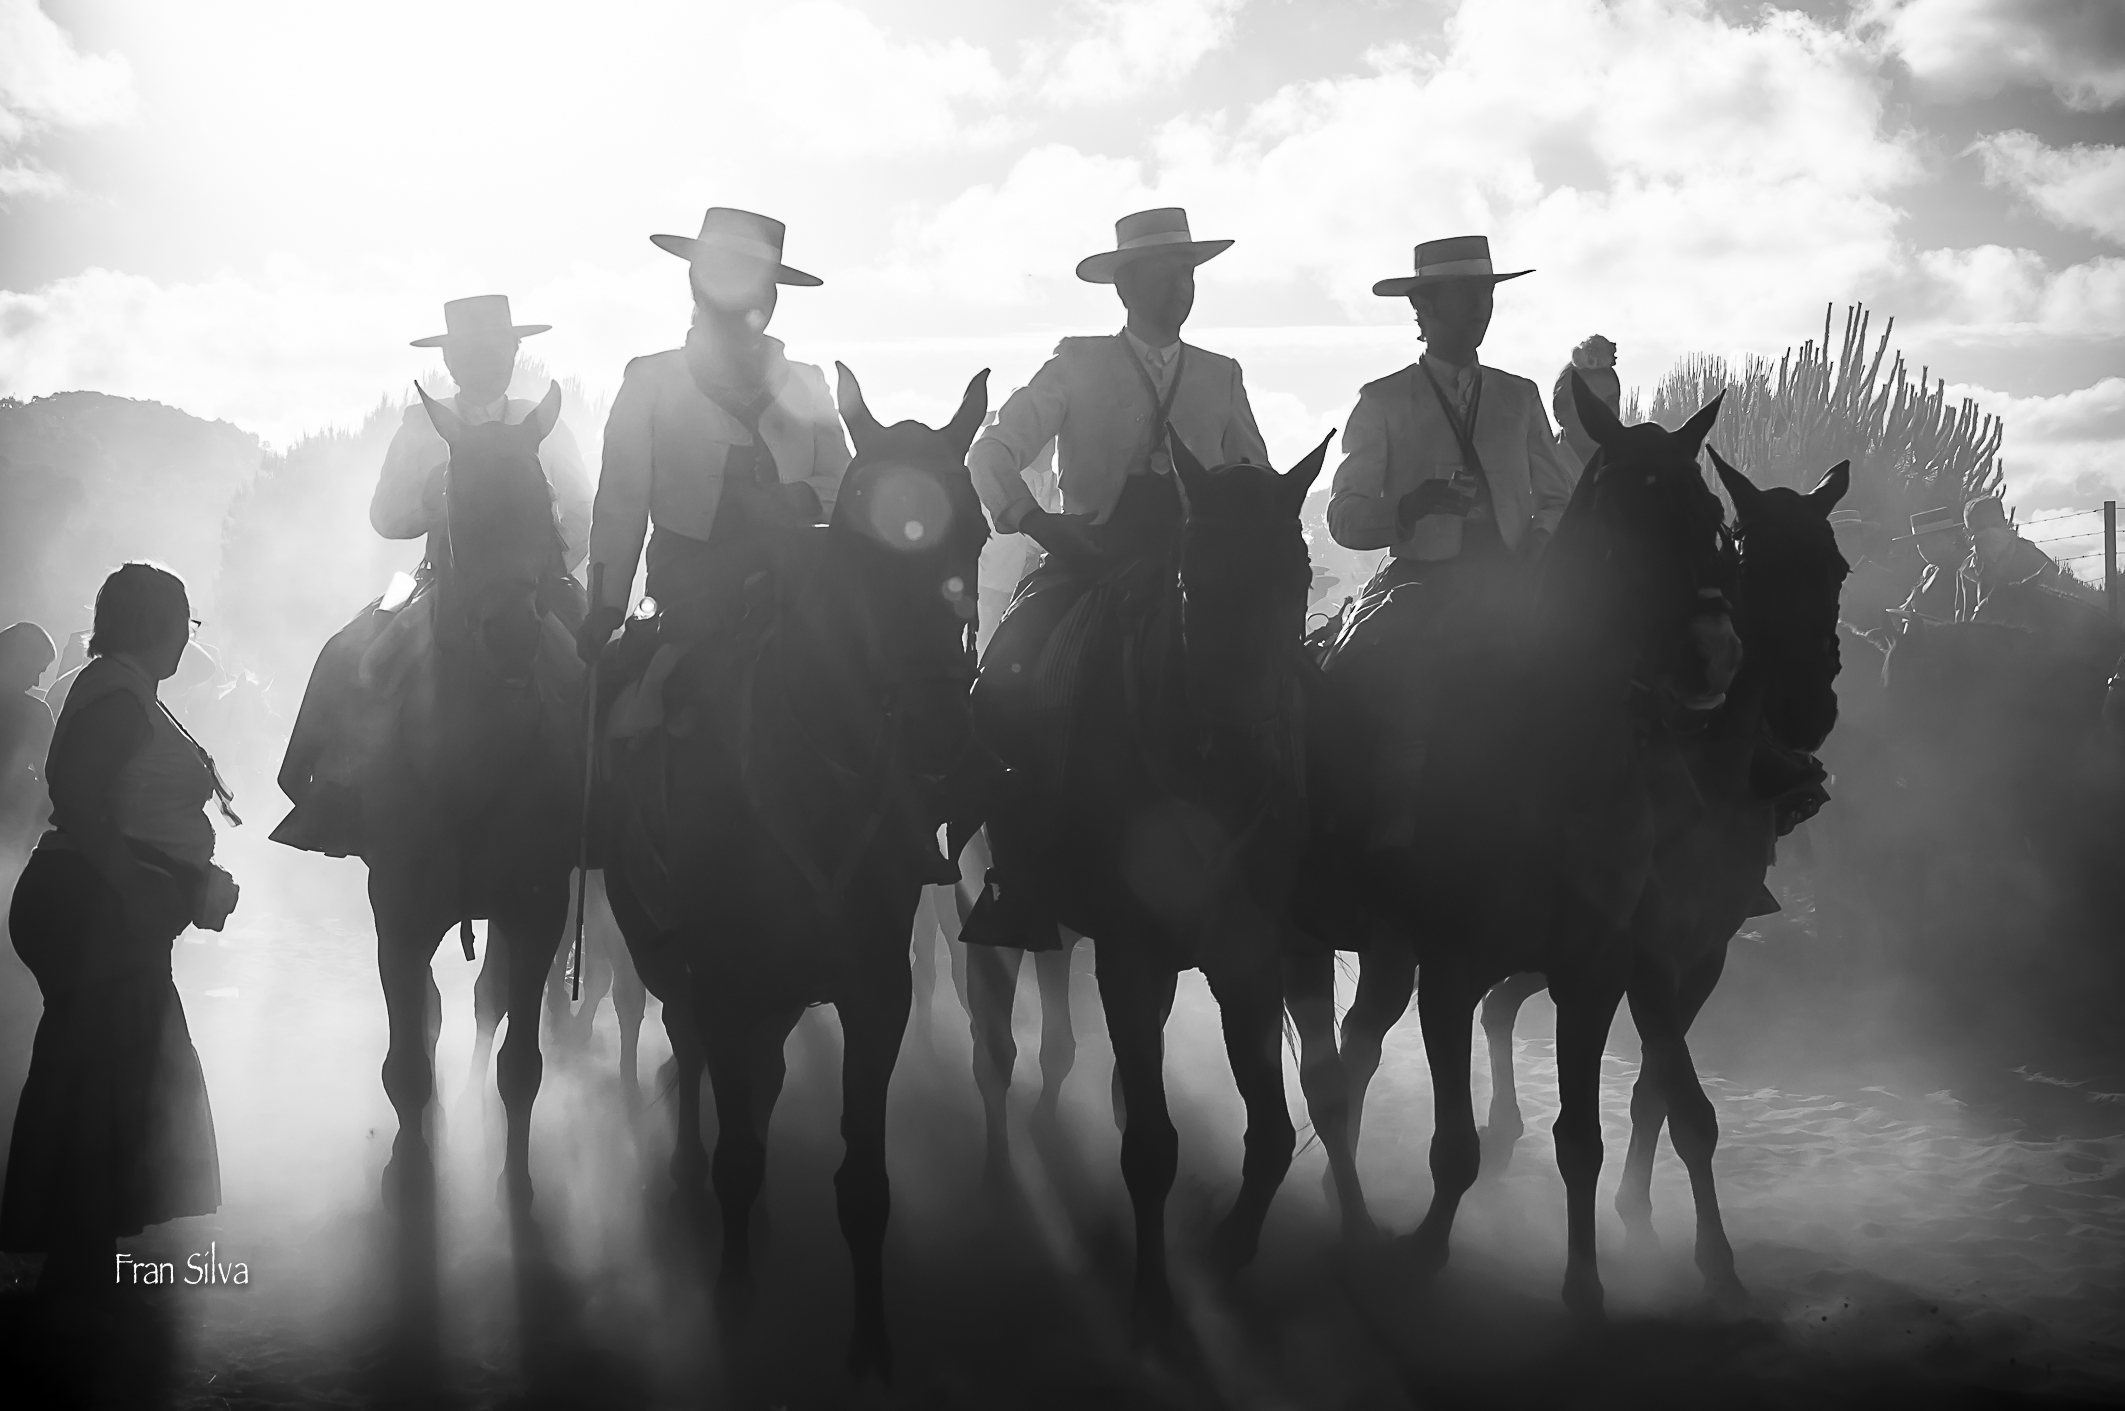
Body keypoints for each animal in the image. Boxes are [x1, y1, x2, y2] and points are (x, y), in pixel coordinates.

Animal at [280, 380, 590, 1207]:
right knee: (430, 1016)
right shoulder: (398, 911)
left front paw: (516, 1180)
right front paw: (413, 1171)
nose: (511, 634)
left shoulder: (537, 909)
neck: (469, 755)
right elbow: (409, 1066)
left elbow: (521, 1065)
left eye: (543, 499)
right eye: (457, 503)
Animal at [603, 363, 990, 1377]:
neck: (814, 770)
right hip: (667, 955)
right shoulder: (724, 976)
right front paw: (736, 1301)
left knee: (764, 1076)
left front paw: (871, 1342)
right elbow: (734, 1145)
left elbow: (863, 1179)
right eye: (858, 544)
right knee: (700, 1058)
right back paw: (688, 1181)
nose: (939, 728)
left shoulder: (874, 990)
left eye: (974, 534)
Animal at [1300, 380, 1751, 1317]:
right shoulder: (1450, 970)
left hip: (1389, 950)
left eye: (1709, 516)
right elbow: (1455, 1143)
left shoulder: (1595, 969)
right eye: (1625, 516)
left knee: (1356, 1048)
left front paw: (1584, 1283)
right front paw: (1426, 1248)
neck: (1549, 754)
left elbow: (1583, 1136)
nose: (1713, 655)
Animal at [1470, 446, 1853, 1309]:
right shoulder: (1642, 948)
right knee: (1492, 1005)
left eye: (1836, 567)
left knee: (1498, 1005)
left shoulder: (1703, 950)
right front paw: (1711, 1258)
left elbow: (1657, 1091)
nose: (1807, 710)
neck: (1709, 776)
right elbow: (1685, 1103)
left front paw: (1638, 1216)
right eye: (1752, 562)